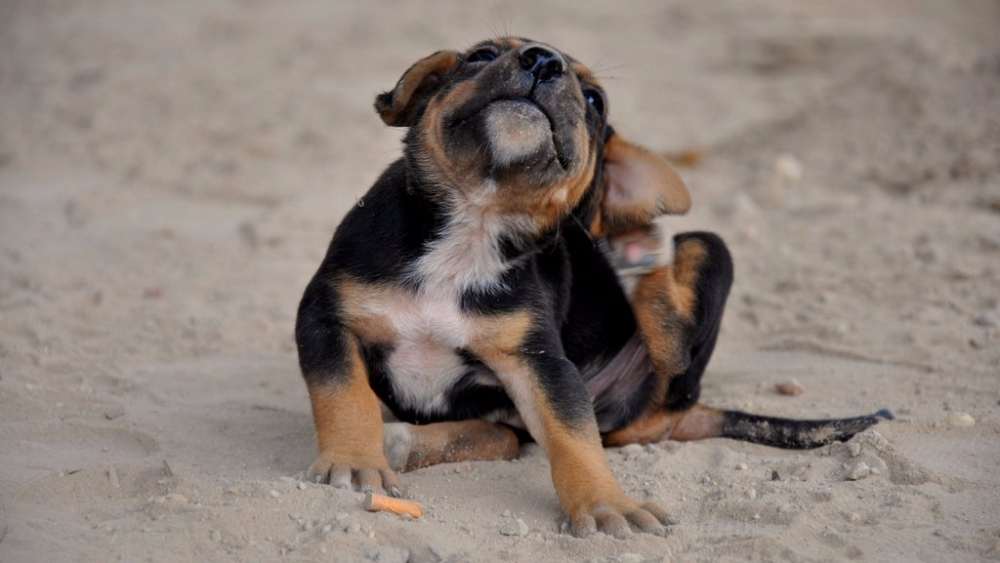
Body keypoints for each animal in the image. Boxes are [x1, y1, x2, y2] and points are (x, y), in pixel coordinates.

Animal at [294, 37, 892, 540]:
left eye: (594, 99)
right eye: (482, 54)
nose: (542, 61)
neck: (473, 222)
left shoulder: (540, 362)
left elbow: (573, 437)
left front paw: (607, 506)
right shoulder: (325, 316)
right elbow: (345, 394)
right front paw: (356, 460)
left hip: (703, 268)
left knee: (666, 356)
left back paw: (640, 254)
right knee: (503, 436)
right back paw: (401, 441)